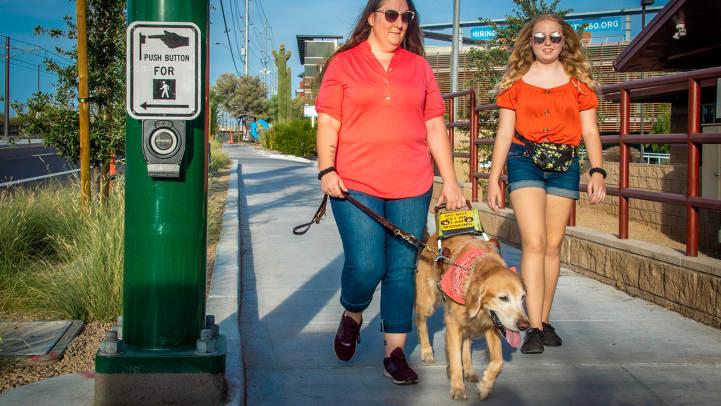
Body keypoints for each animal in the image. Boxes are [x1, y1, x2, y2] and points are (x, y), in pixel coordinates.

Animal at [414, 233, 524, 402]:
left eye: (523, 297)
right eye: (503, 298)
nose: (525, 325)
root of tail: (432, 237)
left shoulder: (491, 324)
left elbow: (498, 362)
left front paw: (485, 387)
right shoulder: (453, 322)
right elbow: (455, 359)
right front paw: (458, 388)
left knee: (466, 342)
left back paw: (469, 370)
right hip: (427, 300)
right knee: (421, 321)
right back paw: (427, 352)